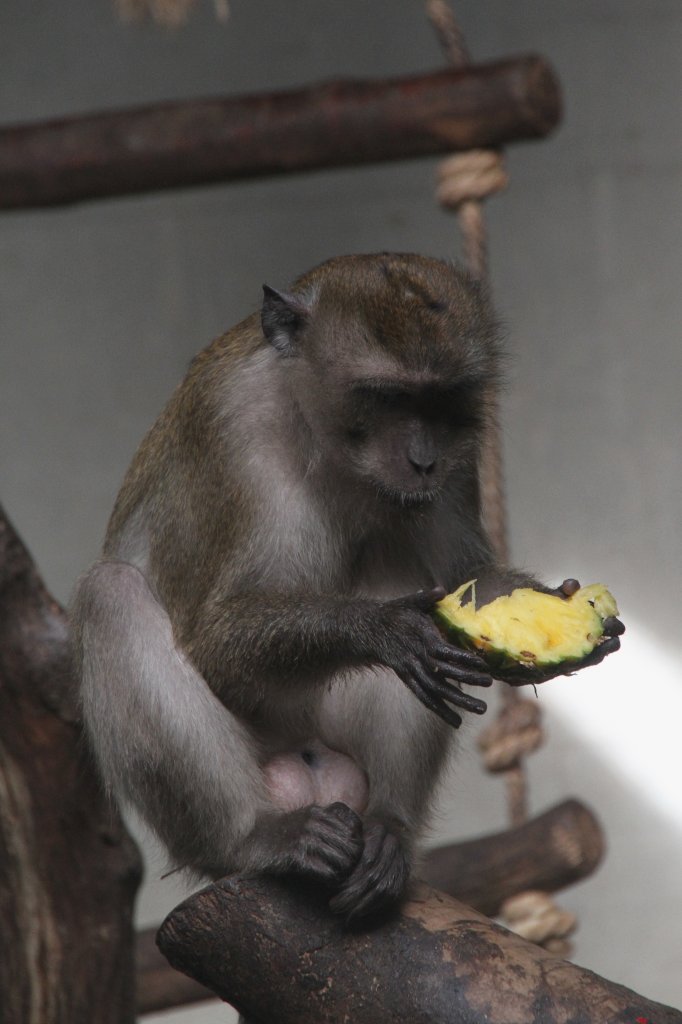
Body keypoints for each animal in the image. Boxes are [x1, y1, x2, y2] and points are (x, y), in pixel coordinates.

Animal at [70, 249, 622, 921]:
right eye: (387, 397)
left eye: (442, 401)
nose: (423, 462)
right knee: (110, 596)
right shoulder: (227, 426)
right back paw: (254, 836)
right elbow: (215, 639)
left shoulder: (464, 448)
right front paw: (384, 628)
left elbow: (467, 579)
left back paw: (389, 825)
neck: (317, 429)